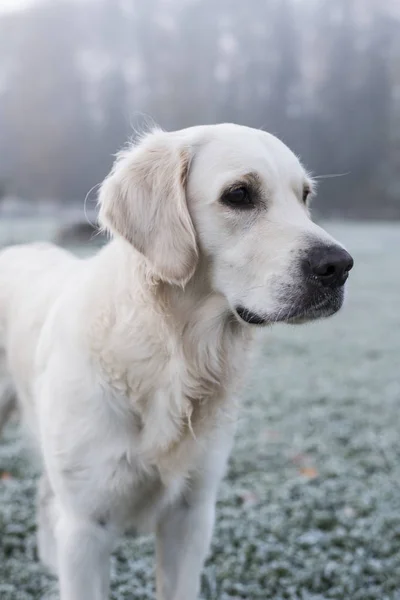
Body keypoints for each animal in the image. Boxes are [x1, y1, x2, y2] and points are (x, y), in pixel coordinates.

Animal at [0, 124, 354, 596]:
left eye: (305, 196)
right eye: (239, 194)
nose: (340, 266)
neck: (172, 353)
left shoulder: (192, 514)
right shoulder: (87, 525)